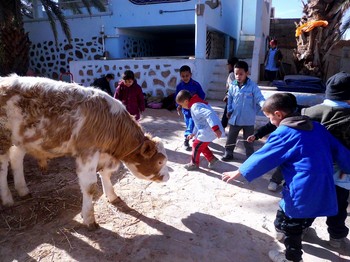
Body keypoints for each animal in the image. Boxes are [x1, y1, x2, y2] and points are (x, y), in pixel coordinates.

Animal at [0, 73, 170, 227]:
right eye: (160, 161)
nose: (168, 177)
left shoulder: (103, 155)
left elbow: (105, 174)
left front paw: (112, 196)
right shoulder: (88, 153)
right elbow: (89, 187)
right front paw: (89, 219)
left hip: (22, 140)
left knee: (16, 159)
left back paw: (23, 190)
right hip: (3, 139)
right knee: (3, 168)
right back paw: (7, 199)